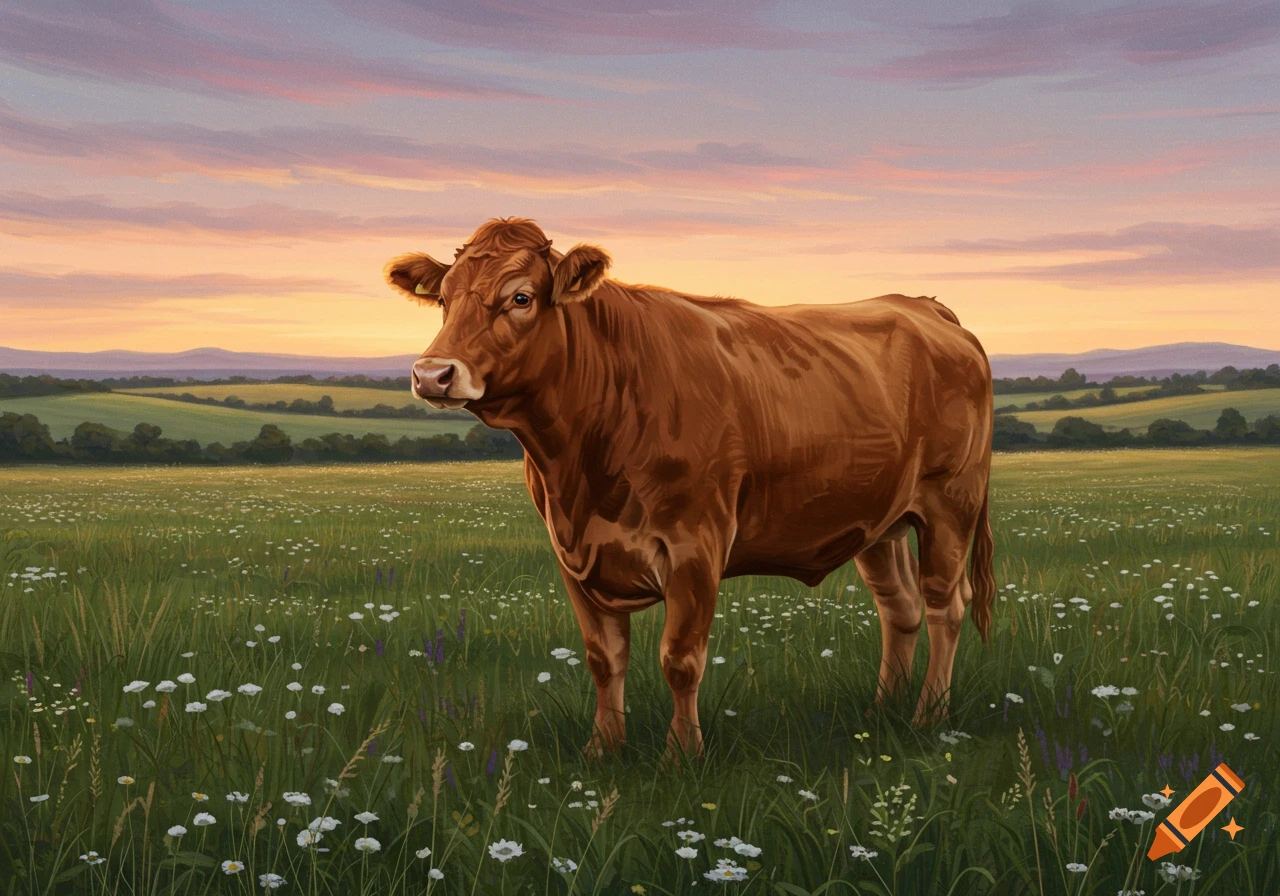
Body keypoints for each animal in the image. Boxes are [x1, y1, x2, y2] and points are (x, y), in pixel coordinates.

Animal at [386, 218, 995, 760]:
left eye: (520, 297)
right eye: (444, 300)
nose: (433, 373)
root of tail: (922, 305)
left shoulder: (695, 546)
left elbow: (680, 659)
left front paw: (681, 756)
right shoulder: (572, 555)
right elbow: (603, 658)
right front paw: (602, 750)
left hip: (950, 503)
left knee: (945, 605)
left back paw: (928, 716)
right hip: (880, 521)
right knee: (900, 607)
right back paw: (882, 710)